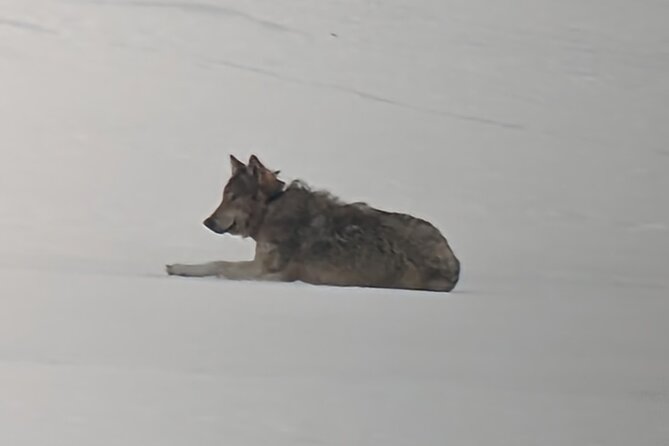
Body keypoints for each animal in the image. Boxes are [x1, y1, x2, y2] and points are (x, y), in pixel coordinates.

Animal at [166, 155, 460, 292]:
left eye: (232, 197)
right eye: (225, 196)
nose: (207, 221)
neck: (272, 208)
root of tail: (455, 264)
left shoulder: (270, 274)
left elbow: (220, 266)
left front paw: (180, 268)